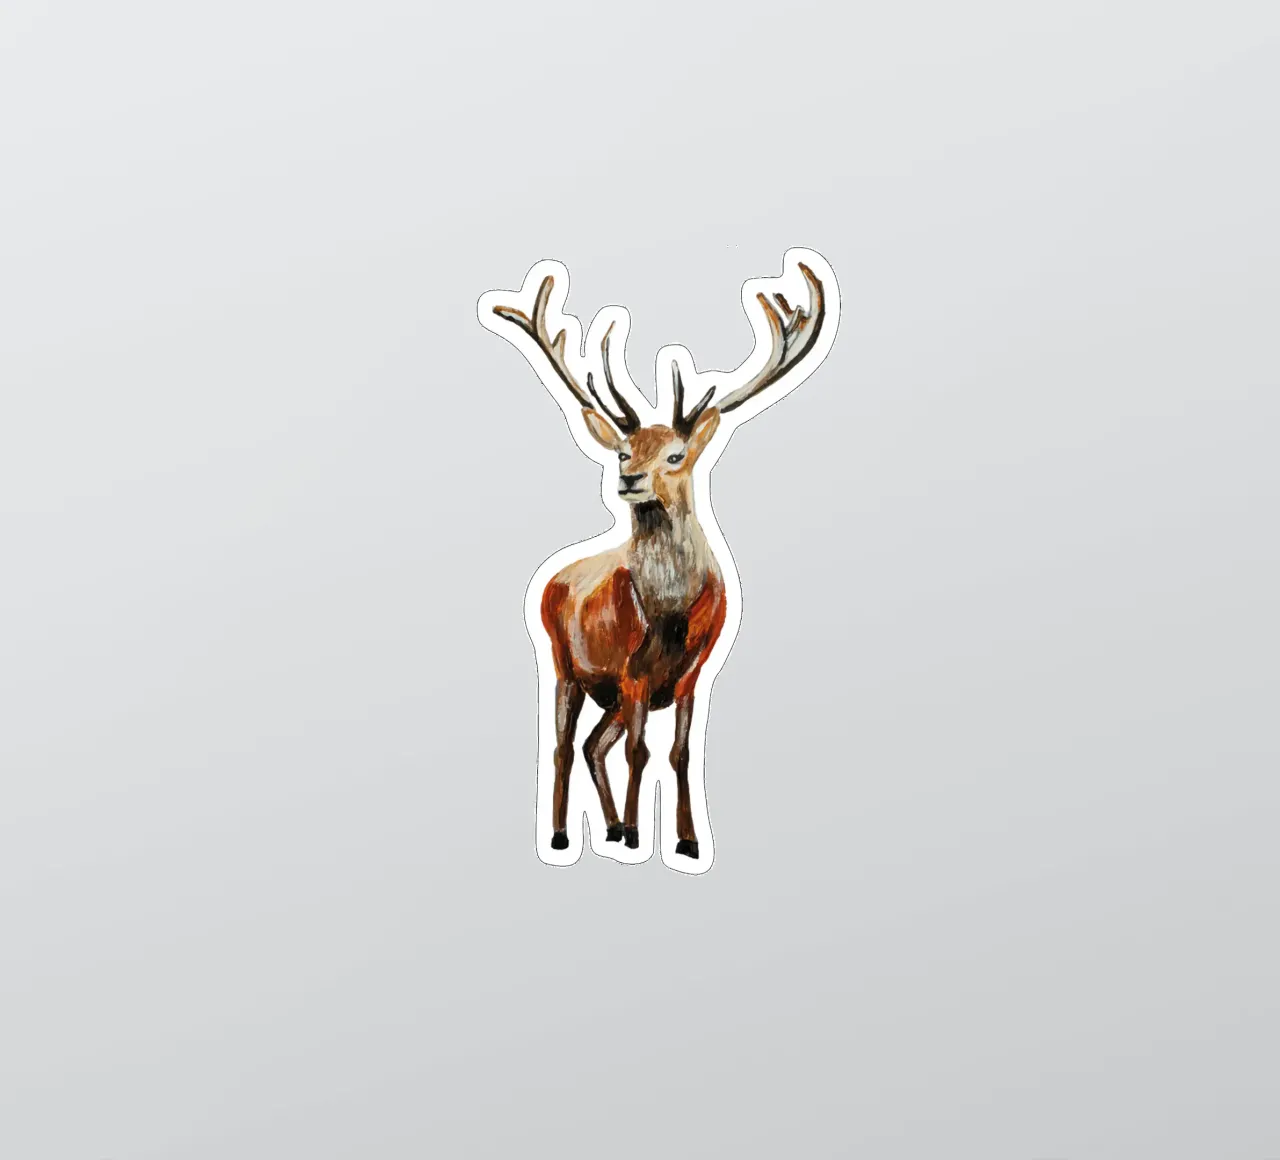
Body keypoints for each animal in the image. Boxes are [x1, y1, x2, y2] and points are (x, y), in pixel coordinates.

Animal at [480, 250, 838, 868]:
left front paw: (687, 840)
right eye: (625, 451)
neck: (668, 613)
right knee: (564, 746)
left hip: (605, 690)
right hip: (563, 661)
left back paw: (606, 827)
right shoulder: (631, 673)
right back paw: (564, 834)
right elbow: (640, 753)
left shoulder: (693, 673)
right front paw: (634, 834)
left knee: (594, 744)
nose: (629, 480)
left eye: (675, 454)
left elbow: (678, 754)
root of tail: (552, 577)